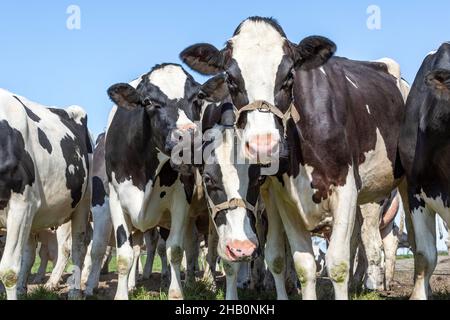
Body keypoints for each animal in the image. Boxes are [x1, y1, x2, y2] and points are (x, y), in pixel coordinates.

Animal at [0, 88, 92, 300]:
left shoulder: (21, 204)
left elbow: (8, 270)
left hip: (82, 202)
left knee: (77, 246)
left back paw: (74, 290)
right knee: (28, 252)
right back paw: (22, 289)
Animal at [181, 16, 406, 298]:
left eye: (290, 76)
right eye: (230, 78)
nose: (263, 145)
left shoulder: (345, 188)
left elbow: (338, 263)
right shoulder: (282, 198)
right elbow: (300, 263)